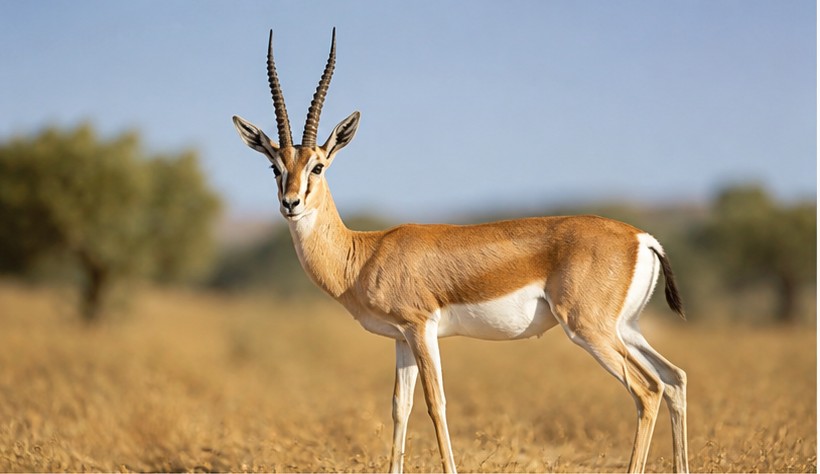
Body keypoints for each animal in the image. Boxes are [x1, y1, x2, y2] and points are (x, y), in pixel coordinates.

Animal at [232, 29, 689, 474]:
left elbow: (436, 405)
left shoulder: (421, 328)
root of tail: (641, 238)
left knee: (648, 390)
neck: (363, 254)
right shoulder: (401, 339)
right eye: (275, 166)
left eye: (318, 165)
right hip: (626, 328)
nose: (290, 203)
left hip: (590, 329)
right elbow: (400, 407)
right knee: (675, 379)